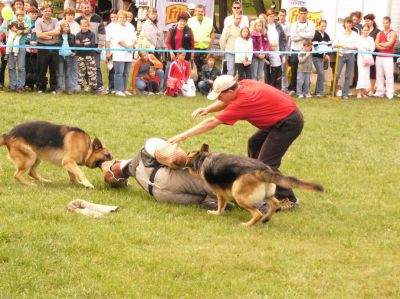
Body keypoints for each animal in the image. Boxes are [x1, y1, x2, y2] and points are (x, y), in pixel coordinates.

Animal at [186, 145, 324, 227]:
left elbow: (220, 206)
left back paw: (247, 224)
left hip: (239, 195)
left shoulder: (220, 194)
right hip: (268, 194)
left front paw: (216, 213)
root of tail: (261, 170)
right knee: (275, 204)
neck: (202, 158)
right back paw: (266, 219)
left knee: (257, 213)